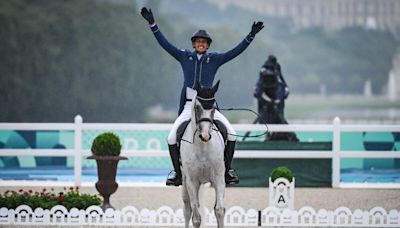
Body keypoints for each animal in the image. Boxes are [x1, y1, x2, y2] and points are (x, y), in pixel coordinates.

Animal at [180, 80, 227, 228]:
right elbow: (196, 218)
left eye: (214, 107)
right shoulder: (192, 182)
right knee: (187, 209)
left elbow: (219, 210)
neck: (203, 148)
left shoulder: (219, 178)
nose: (205, 135)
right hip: (184, 182)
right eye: (197, 107)